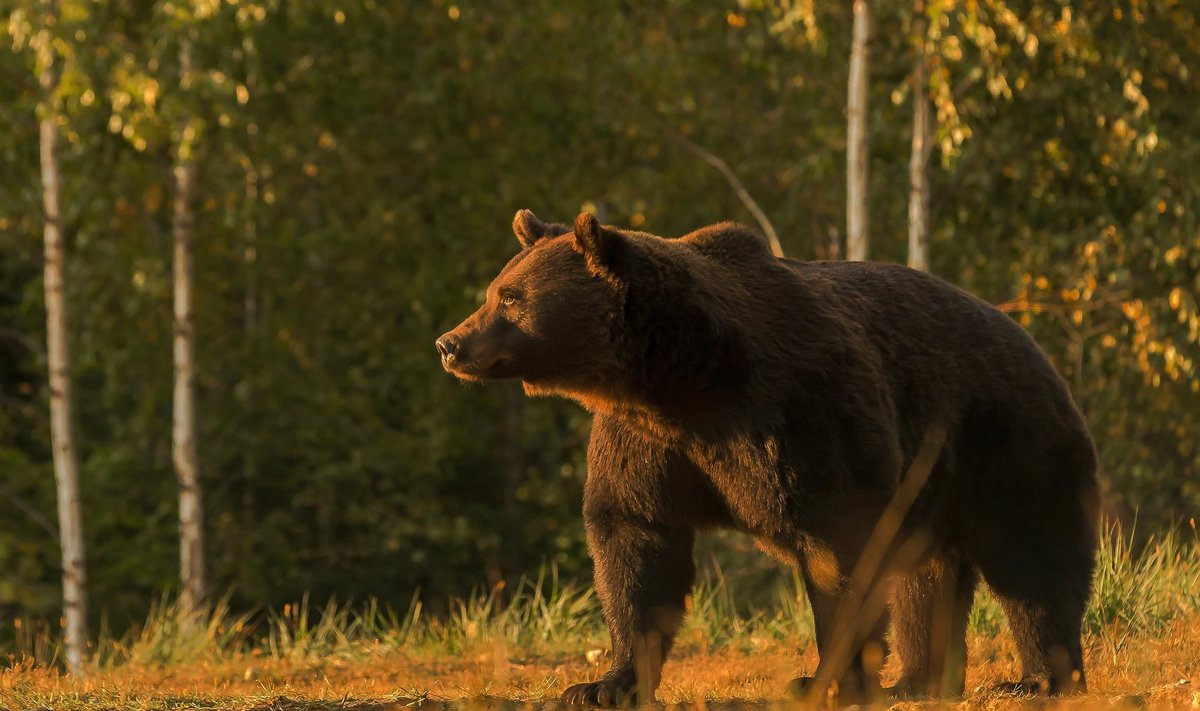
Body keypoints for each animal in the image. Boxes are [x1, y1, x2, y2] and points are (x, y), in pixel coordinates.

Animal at [436, 210, 1099, 706]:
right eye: (496, 290)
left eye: (511, 299)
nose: (450, 343)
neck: (682, 380)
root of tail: (1030, 341)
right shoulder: (646, 443)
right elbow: (635, 541)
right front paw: (604, 683)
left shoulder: (798, 413)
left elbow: (841, 550)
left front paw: (827, 678)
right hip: (933, 482)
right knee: (928, 576)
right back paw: (919, 681)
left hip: (1006, 441)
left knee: (1033, 559)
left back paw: (1040, 678)